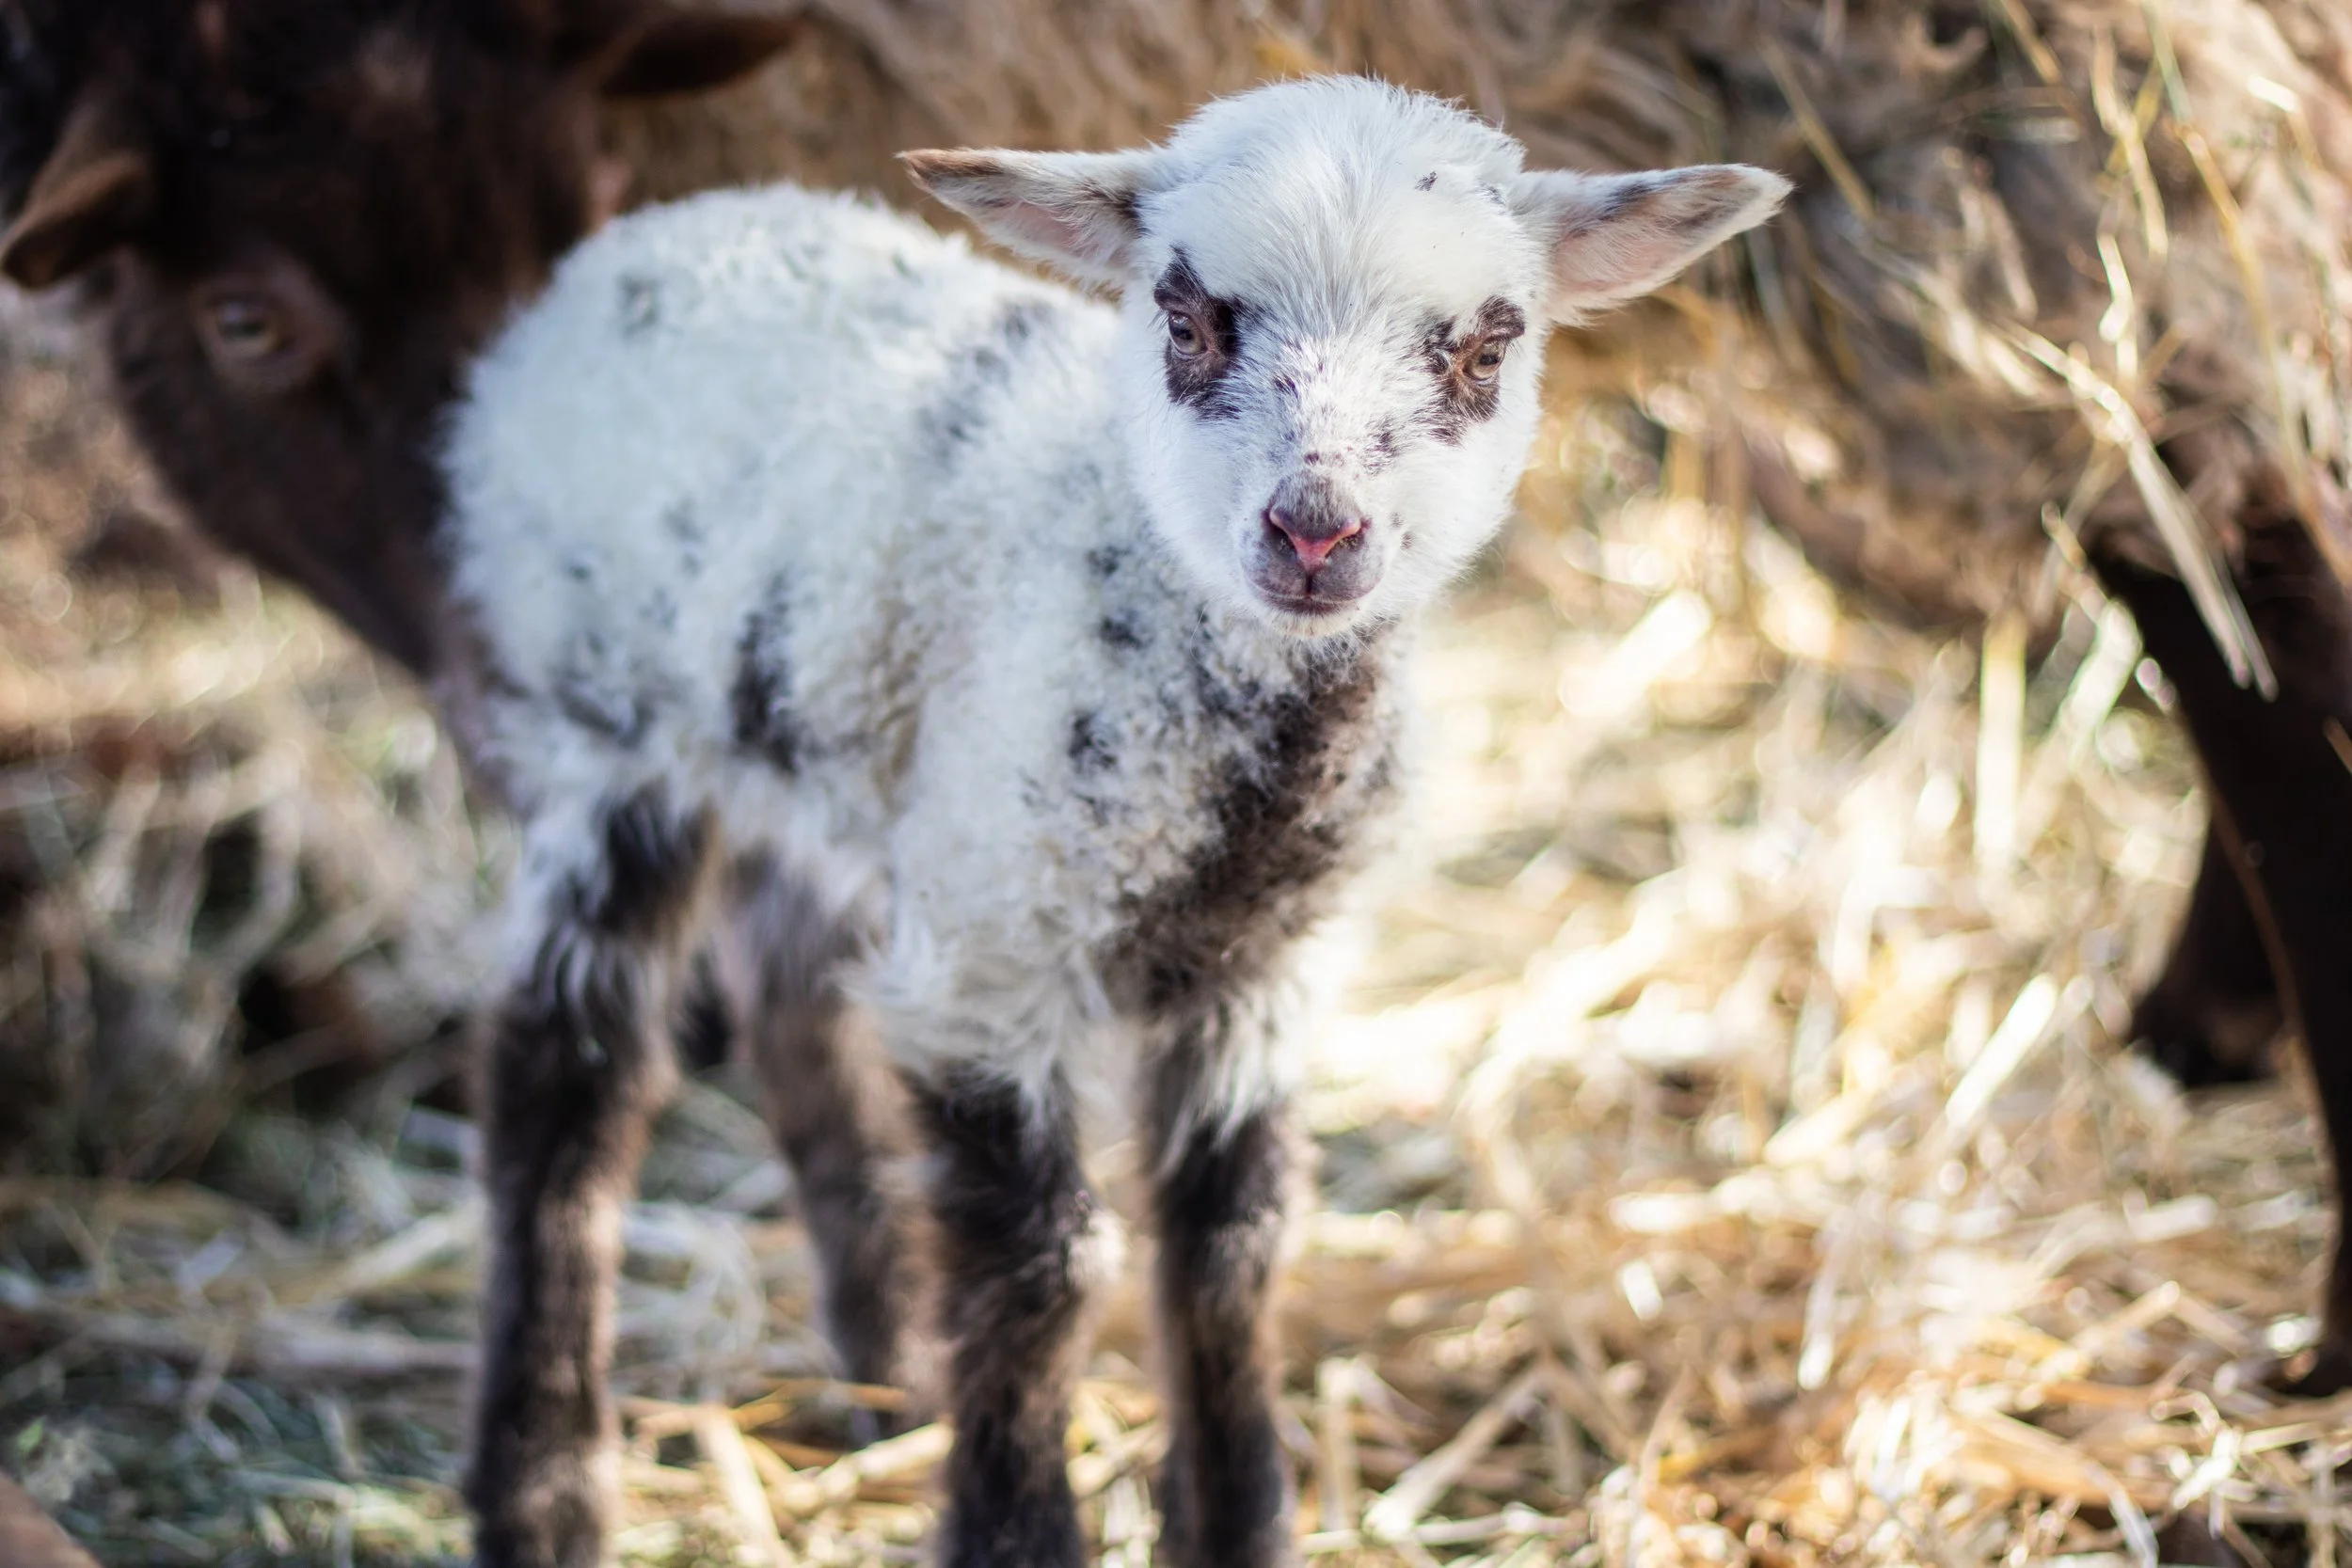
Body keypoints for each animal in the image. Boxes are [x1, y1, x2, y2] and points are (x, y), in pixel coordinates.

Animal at [427, 75, 1785, 1566]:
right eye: (1187, 321)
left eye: (1487, 349)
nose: (1316, 532)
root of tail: (649, 239)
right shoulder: (989, 947)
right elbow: (1044, 1269)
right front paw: (1016, 1525)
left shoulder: (1262, 968)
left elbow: (1231, 1252)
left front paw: (1238, 1521)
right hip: (601, 729)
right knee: (565, 1081)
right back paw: (545, 1480)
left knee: (791, 998)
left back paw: (882, 1364)